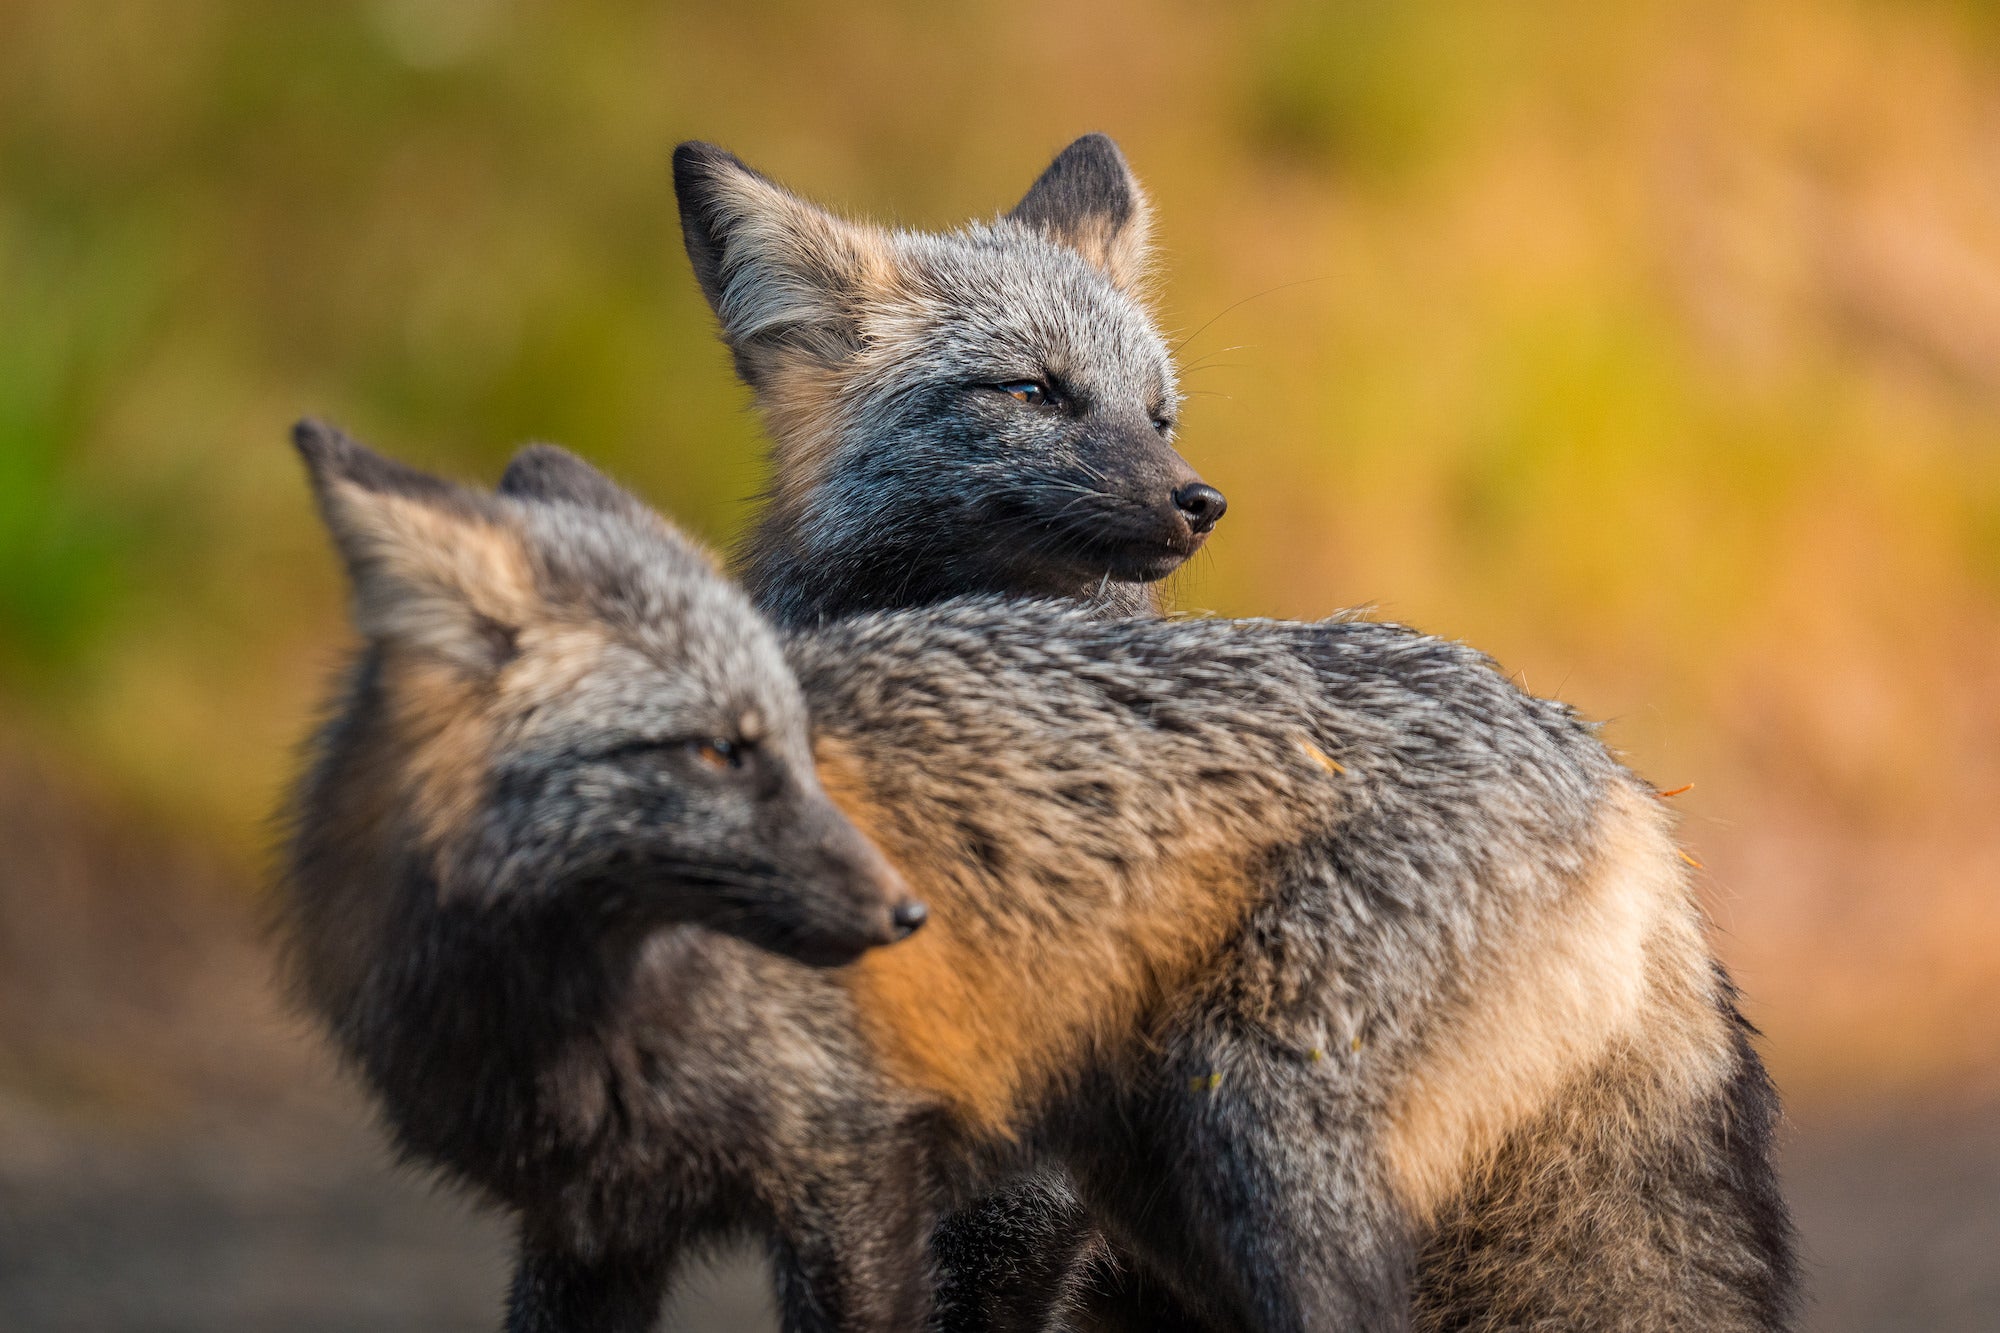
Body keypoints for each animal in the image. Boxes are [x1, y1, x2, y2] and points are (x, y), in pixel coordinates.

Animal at [282, 422, 1793, 1333]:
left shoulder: (859, 1175)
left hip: (1256, 1145)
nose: (902, 914)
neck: (569, 1021)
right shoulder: (584, 1225)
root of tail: (1613, 770)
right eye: (719, 750)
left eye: (792, 741)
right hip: (1166, 1200)